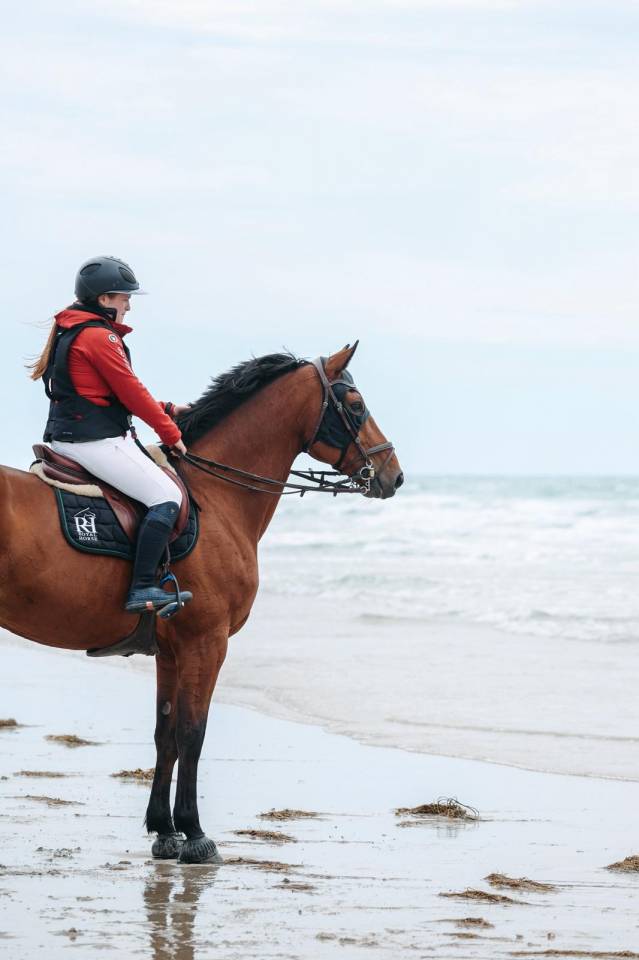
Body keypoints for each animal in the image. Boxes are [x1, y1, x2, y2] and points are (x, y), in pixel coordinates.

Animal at [0, 342, 403, 863]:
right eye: (354, 404)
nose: (394, 475)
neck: (217, 497)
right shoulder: (206, 643)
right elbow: (193, 732)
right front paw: (193, 833)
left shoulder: (171, 651)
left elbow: (165, 734)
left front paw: (163, 830)